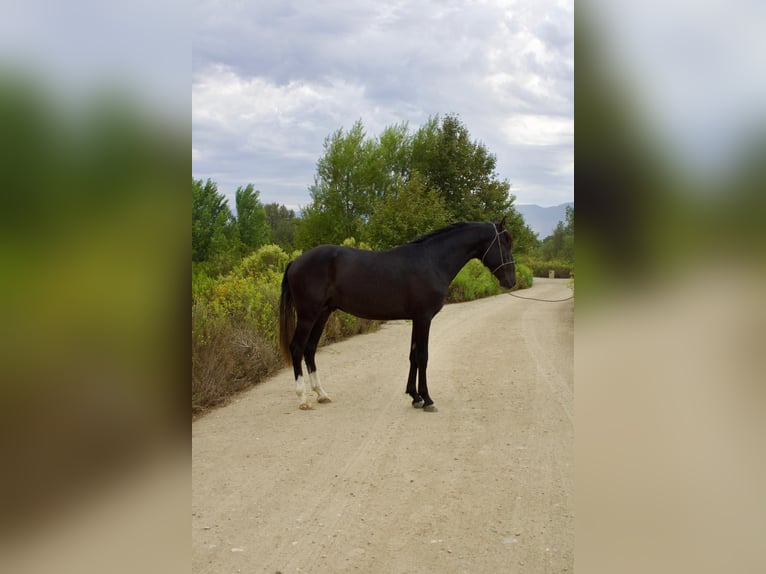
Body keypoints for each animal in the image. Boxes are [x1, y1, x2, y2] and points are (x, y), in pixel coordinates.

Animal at [278, 218, 516, 411]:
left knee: (310, 349)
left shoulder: (417, 319)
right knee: (297, 348)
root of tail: (296, 262)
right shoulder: (424, 318)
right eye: (505, 243)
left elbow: (413, 356)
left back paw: (321, 394)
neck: (432, 260)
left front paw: (415, 397)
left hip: (323, 313)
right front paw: (427, 399)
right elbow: (423, 356)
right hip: (308, 315)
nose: (511, 281)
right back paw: (303, 399)